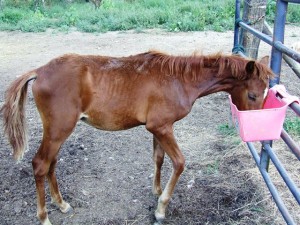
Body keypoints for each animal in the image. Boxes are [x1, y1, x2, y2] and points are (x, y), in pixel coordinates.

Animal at [0, 51, 272, 225]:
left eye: (265, 91)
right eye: (252, 94)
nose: (256, 132)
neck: (180, 80)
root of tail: (39, 72)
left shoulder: (159, 129)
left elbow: (159, 158)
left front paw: (156, 190)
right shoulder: (162, 127)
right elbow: (179, 163)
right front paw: (161, 209)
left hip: (58, 132)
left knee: (52, 164)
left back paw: (62, 204)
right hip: (58, 130)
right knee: (40, 164)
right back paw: (44, 217)